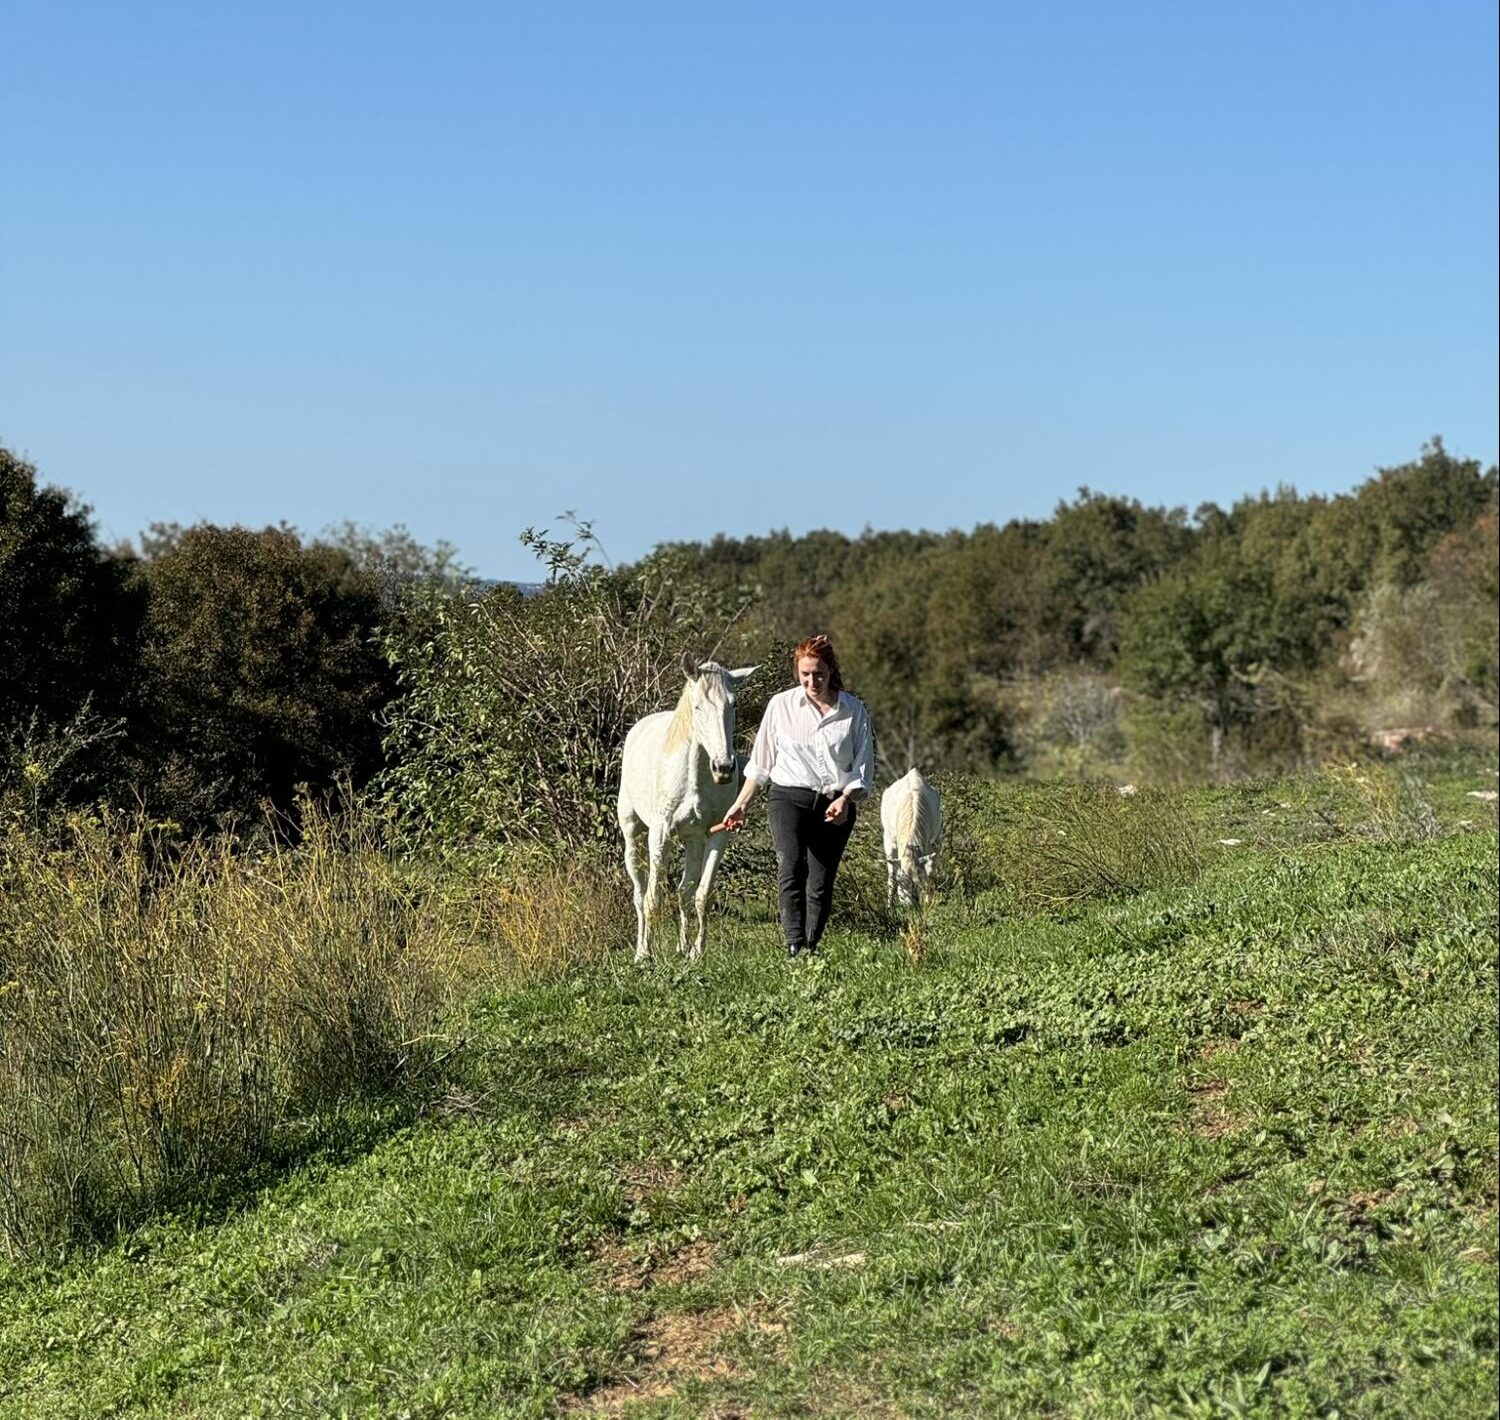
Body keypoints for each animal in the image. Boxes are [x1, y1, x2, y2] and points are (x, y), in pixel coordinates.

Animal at [617, 653, 758, 962]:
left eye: (733, 704)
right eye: (698, 707)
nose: (723, 768)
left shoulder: (718, 834)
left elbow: (701, 894)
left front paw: (696, 951)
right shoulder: (659, 835)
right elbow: (652, 898)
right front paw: (648, 954)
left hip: (692, 841)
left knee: (684, 892)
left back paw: (682, 947)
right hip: (633, 833)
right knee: (639, 892)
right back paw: (640, 950)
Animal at [880, 767, 943, 909]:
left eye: (916, 882)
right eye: (901, 883)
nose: (909, 906)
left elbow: (928, 872)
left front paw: (927, 900)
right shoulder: (889, 842)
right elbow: (892, 878)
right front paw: (889, 907)